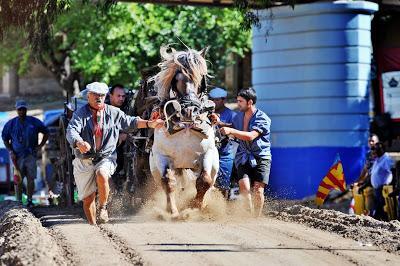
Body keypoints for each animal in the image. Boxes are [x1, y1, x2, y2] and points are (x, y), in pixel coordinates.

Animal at [149, 46, 219, 218]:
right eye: (177, 78)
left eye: (201, 78)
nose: (189, 111)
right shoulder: (162, 156)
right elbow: (168, 182)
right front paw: (172, 212)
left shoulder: (207, 153)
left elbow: (204, 181)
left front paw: (196, 206)